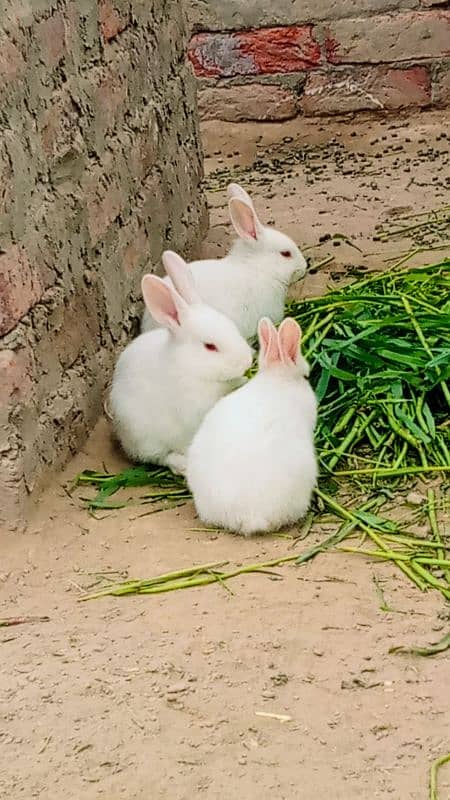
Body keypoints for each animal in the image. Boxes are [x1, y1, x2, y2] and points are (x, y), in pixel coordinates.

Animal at [107, 252, 251, 476]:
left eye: (232, 326)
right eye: (210, 346)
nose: (247, 361)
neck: (189, 365)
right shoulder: (196, 404)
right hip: (146, 438)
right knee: (161, 457)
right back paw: (182, 465)